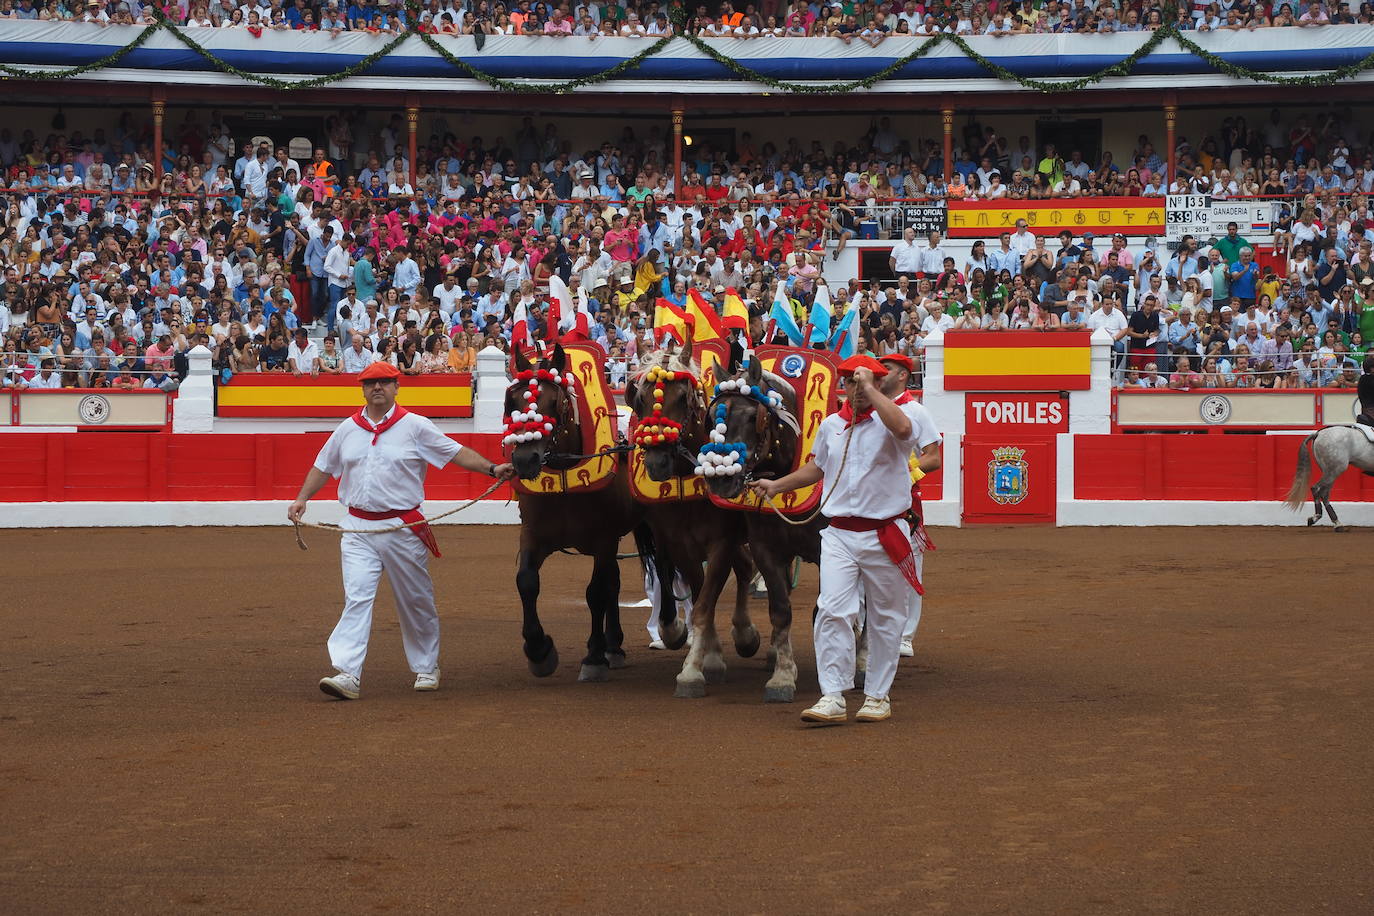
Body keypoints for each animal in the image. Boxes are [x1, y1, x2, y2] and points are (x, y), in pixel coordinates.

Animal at [511, 343, 648, 681]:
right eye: (514, 401)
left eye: (556, 402)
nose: (525, 459)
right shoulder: (533, 534)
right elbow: (527, 581)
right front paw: (539, 650)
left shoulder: (603, 539)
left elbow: (595, 592)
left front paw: (593, 657)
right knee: (614, 581)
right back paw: (614, 645)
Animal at [626, 340, 758, 697]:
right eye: (639, 399)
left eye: (684, 397)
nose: (657, 462)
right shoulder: (677, 542)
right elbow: (698, 596)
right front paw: (704, 654)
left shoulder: (721, 542)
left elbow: (704, 605)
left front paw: (693, 671)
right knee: (743, 568)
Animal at [697, 354, 824, 697]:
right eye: (713, 415)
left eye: (755, 416)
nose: (722, 478)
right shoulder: (766, 550)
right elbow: (780, 610)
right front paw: (782, 675)